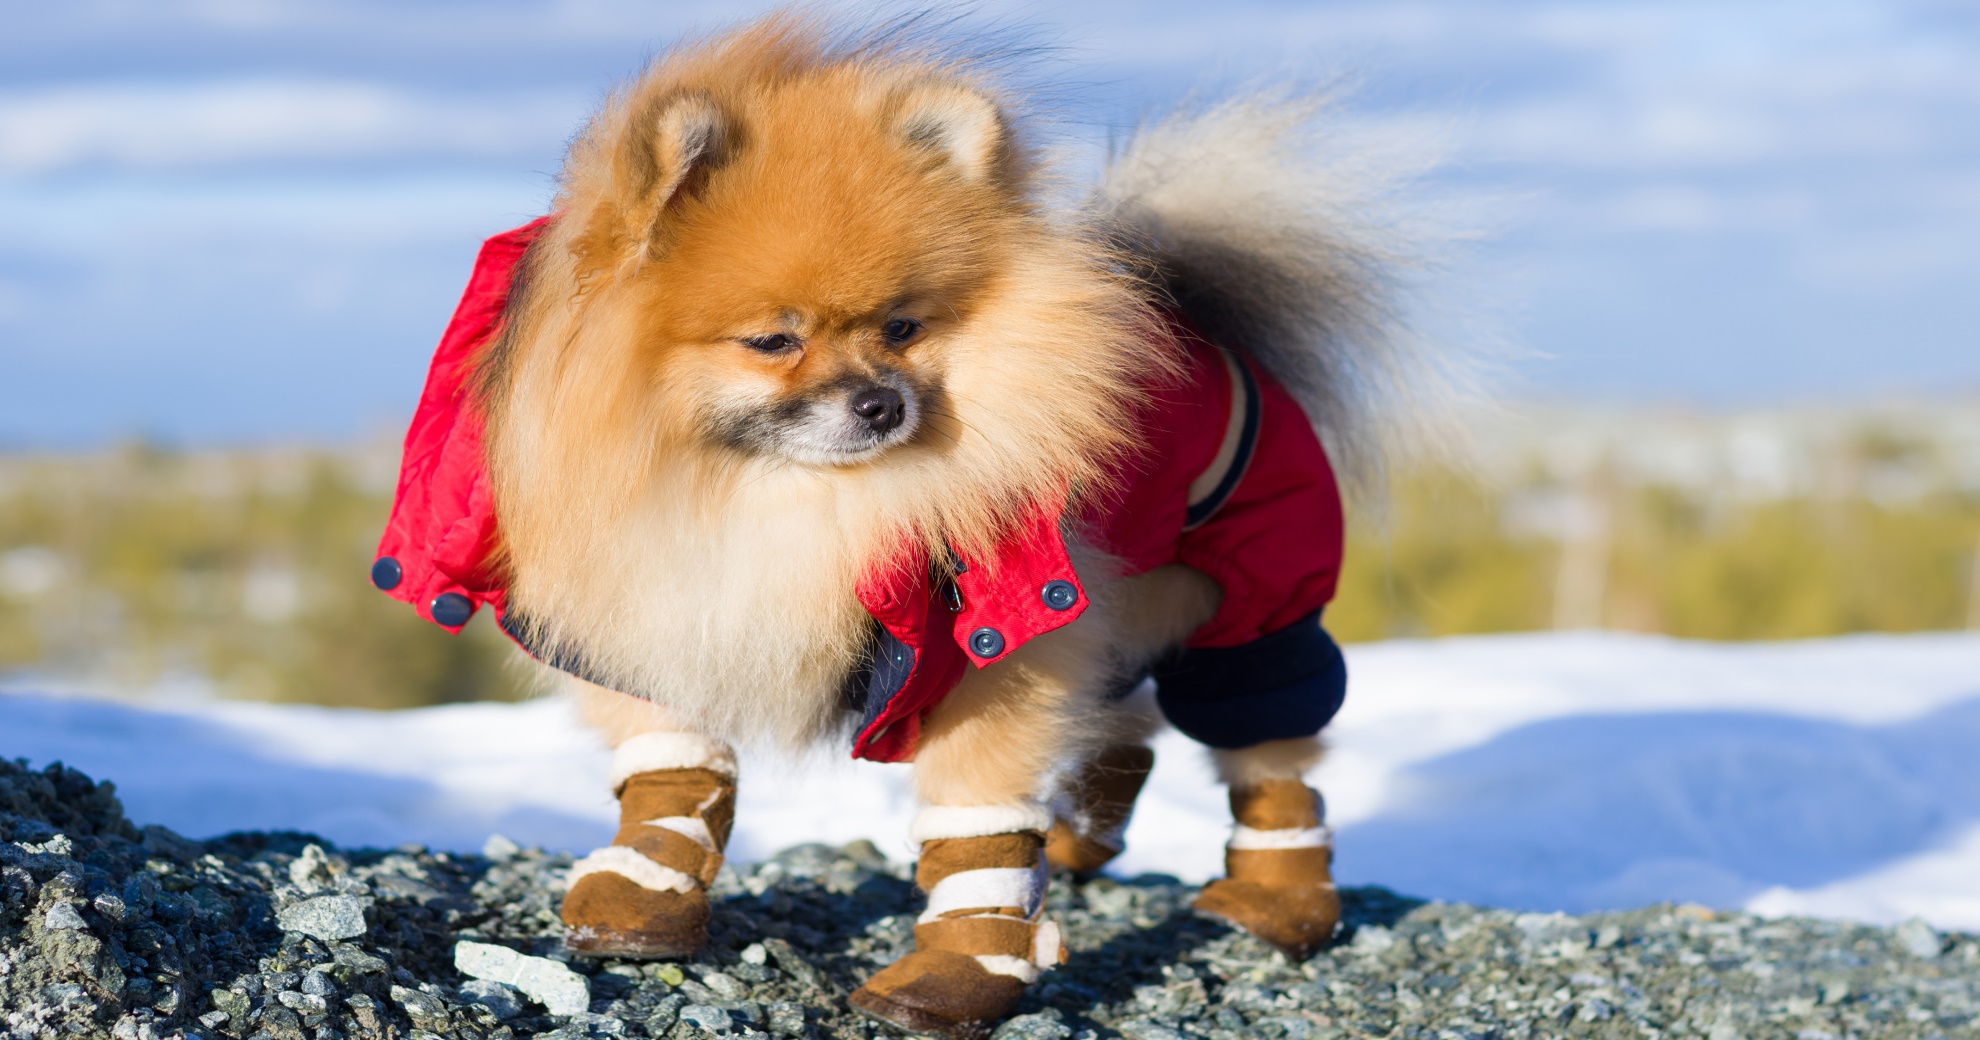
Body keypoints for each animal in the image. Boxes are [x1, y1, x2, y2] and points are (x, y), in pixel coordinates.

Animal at [372, 10, 1449, 1038]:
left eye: (901, 326)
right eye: (773, 339)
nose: (880, 403)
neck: (774, 497)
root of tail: (1199, 312)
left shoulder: (997, 643)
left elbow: (978, 817)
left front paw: (962, 967)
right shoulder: (660, 596)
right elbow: (670, 762)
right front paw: (642, 890)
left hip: (1249, 600)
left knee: (1269, 749)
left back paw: (1274, 898)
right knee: (1127, 722)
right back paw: (1082, 834)